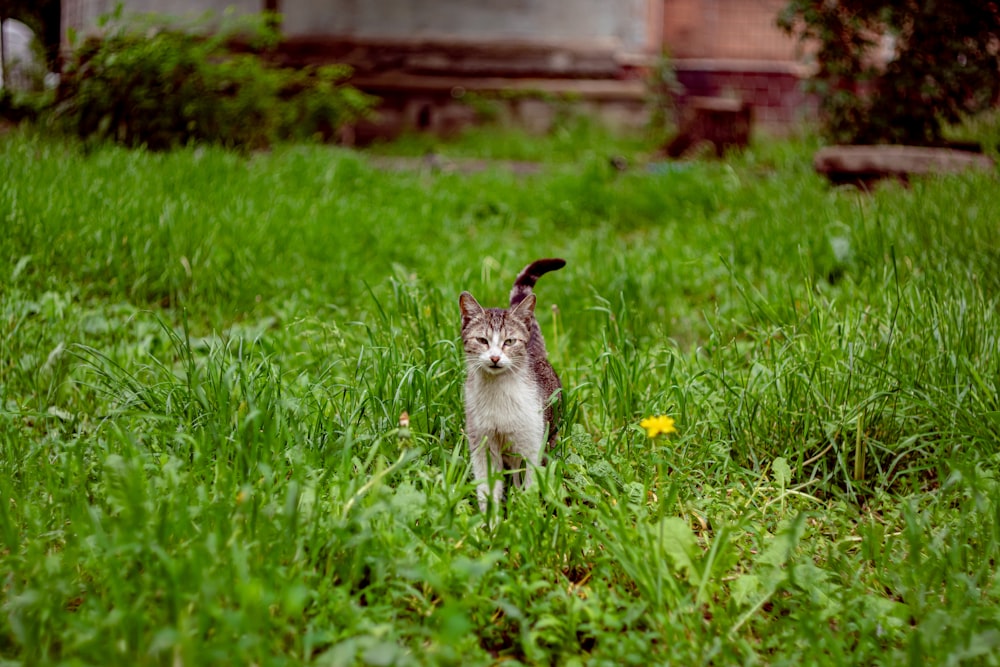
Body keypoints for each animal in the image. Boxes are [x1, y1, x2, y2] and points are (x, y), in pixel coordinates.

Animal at [458, 258, 568, 516]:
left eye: (509, 341)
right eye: (482, 340)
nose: (495, 357)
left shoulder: (531, 445)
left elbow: (529, 486)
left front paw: (526, 515)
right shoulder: (483, 446)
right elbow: (488, 490)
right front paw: (491, 521)